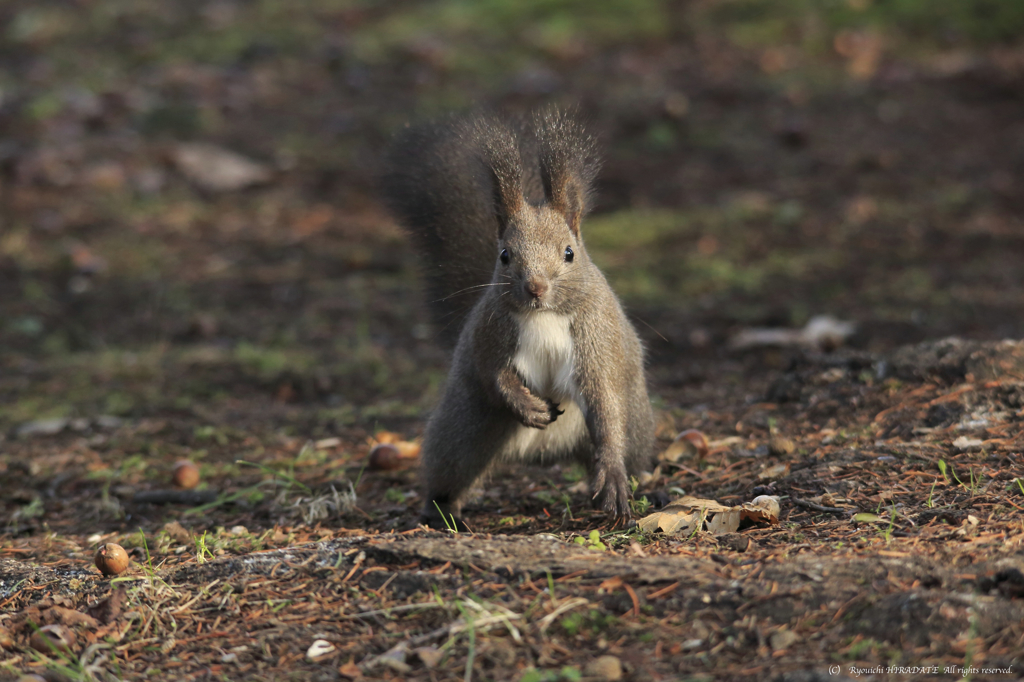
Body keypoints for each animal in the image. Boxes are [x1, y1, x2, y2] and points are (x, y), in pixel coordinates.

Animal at [385, 110, 655, 524]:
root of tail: (546, 452)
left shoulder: (596, 339)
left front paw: (612, 477)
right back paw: (440, 510)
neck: (544, 316)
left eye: (569, 253)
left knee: (629, 447)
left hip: (637, 423)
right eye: (505, 255)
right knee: (450, 468)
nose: (535, 288)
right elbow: (493, 375)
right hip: (464, 428)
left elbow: (606, 406)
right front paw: (528, 405)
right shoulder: (488, 336)